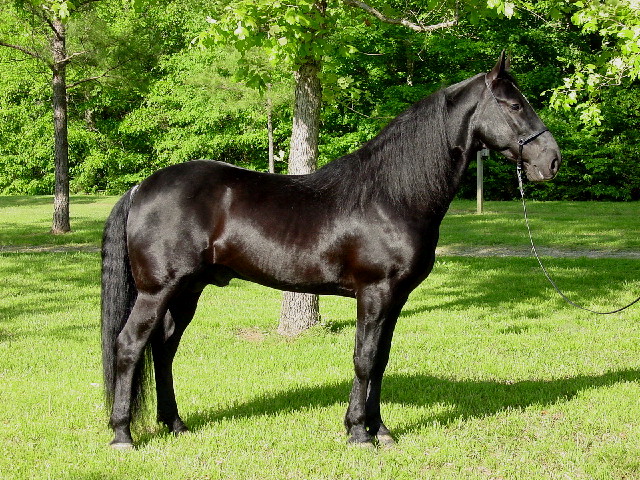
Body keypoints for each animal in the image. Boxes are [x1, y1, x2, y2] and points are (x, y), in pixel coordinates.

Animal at [101, 52, 561, 449]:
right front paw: (359, 432)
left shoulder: (395, 298)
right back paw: (123, 435)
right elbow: (364, 359)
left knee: (163, 348)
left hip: (187, 290)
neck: (391, 195)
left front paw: (381, 430)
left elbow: (381, 360)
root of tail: (141, 187)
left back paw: (175, 424)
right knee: (129, 345)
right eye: (513, 104)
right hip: (157, 291)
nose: (552, 160)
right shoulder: (374, 293)